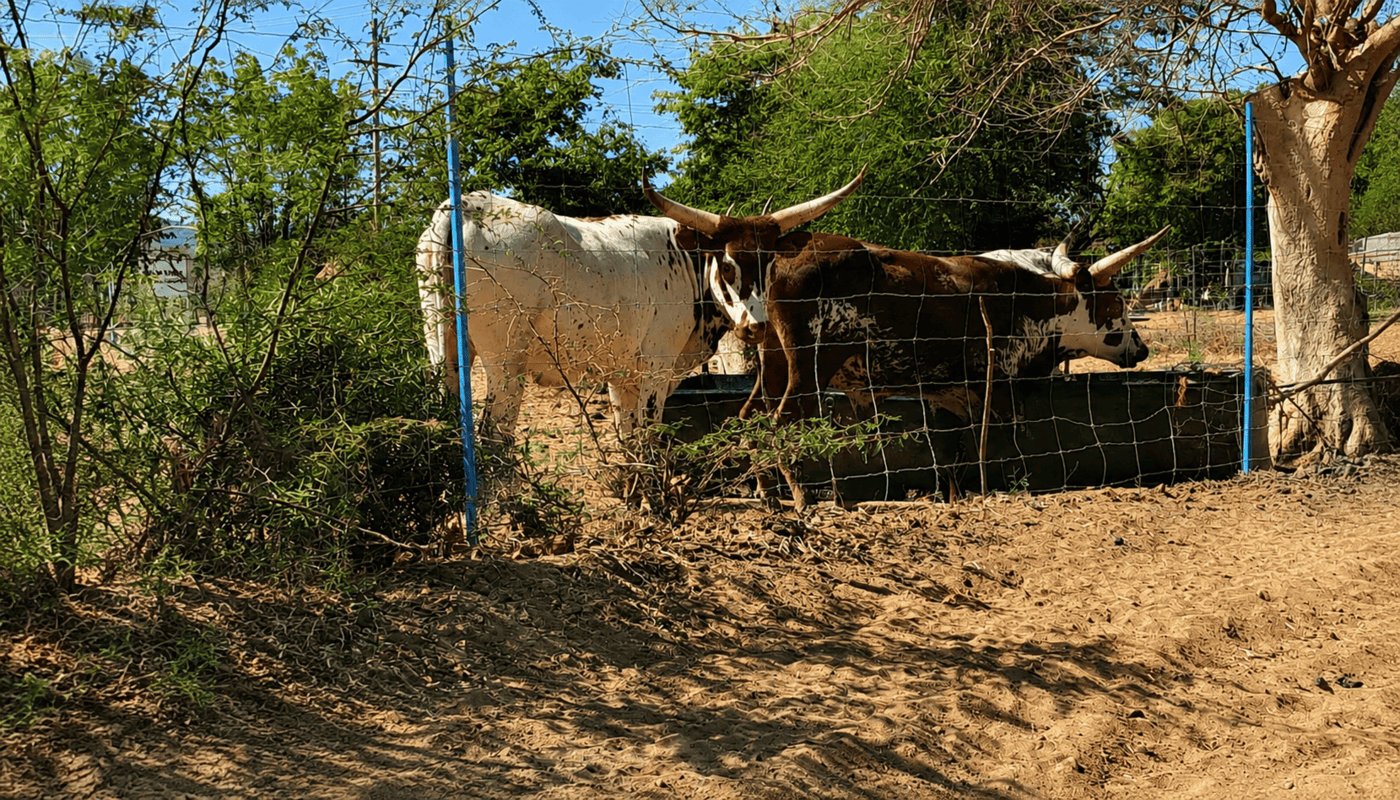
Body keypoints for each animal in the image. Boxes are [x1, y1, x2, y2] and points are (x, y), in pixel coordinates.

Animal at [416, 175, 863, 442]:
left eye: (770, 263)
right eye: (728, 264)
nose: (756, 326)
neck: (686, 260)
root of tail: (466, 206)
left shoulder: (622, 374)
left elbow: (627, 436)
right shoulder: (657, 369)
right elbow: (647, 435)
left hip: (443, 354)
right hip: (506, 363)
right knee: (494, 435)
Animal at [716, 227, 1170, 509]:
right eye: (1116, 303)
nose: (1142, 348)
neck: (1030, 300)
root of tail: (784, 251)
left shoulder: (950, 397)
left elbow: (952, 454)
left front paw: (953, 495)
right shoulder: (998, 392)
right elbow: (1002, 448)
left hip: (774, 364)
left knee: (749, 417)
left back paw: (765, 491)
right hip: (810, 368)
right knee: (780, 422)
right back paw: (802, 496)